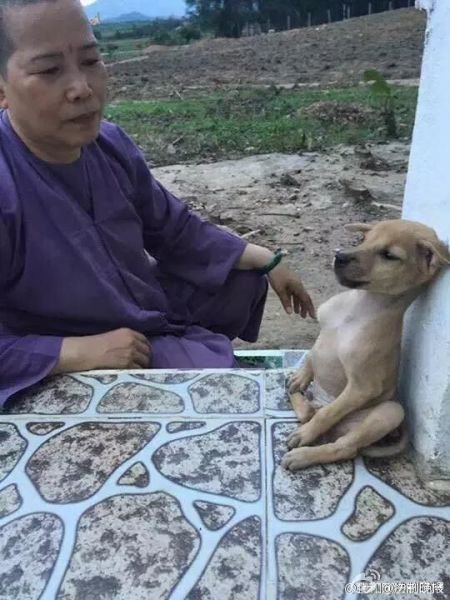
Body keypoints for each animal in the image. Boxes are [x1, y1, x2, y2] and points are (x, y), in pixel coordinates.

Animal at [284, 218, 450, 472]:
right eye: (364, 239)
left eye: (389, 255)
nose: (339, 256)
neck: (358, 306)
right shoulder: (322, 334)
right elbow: (312, 355)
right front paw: (301, 377)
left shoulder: (362, 387)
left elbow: (329, 413)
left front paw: (305, 435)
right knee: (310, 412)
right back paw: (298, 395)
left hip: (390, 412)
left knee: (342, 442)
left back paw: (304, 453)